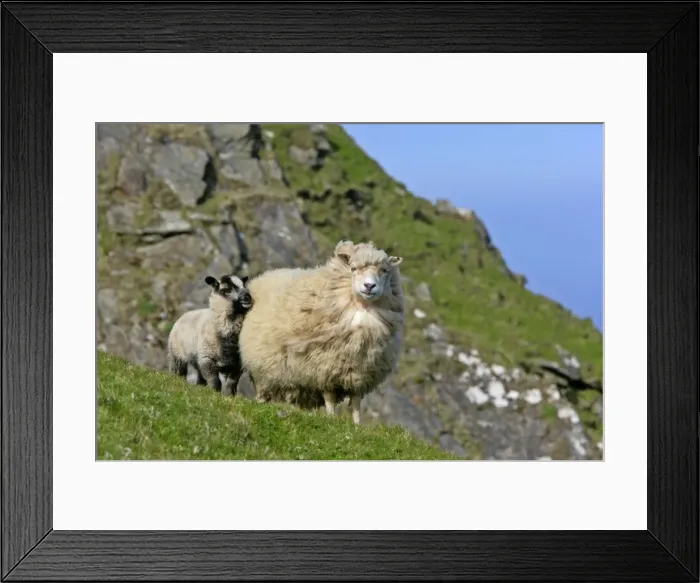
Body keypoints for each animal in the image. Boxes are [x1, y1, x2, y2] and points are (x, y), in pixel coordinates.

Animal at [238, 239, 405, 424]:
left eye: (384, 271)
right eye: (353, 268)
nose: (369, 286)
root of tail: (266, 275)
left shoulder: (361, 374)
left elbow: (355, 403)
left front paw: (357, 424)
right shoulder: (324, 368)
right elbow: (330, 398)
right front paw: (331, 419)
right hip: (261, 371)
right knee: (262, 392)